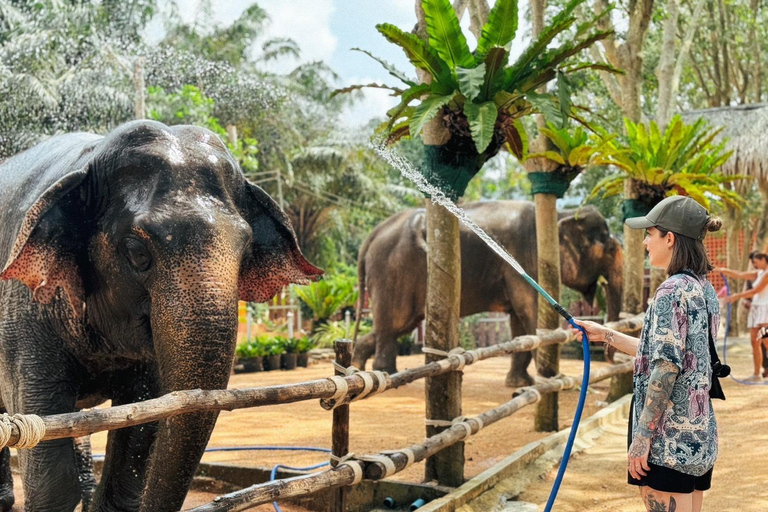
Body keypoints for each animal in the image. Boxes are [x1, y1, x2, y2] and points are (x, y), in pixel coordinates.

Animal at [0, 120, 321, 512]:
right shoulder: (23, 313)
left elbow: (142, 428)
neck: (91, 155)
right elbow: (46, 450)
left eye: (245, 250)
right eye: (137, 251)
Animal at [352, 200, 623, 384]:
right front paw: (554, 379)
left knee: (390, 329)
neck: (564, 214)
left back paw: (360, 371)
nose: (613, 362)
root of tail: (371, 236)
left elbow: (519, 323)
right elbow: (530, 311)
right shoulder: (524, 258)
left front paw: (520, 384)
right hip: (393, 272)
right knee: (393, 326)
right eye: (610, 248)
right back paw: (388, 374)